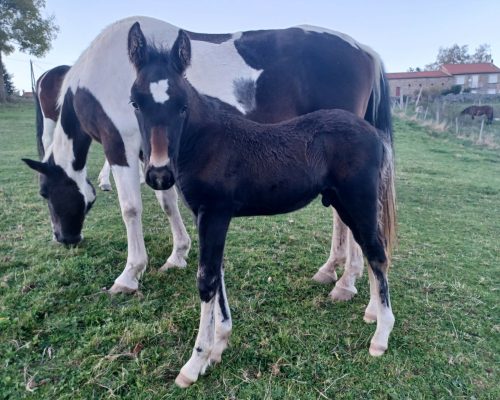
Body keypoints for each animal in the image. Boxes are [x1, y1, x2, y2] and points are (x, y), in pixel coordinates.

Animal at [23, 16, 392, 296]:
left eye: (44, 192)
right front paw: (177, 255)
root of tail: (365, 51)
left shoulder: (120, 147)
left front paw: (130, 274)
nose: (64, 238)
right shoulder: (154, 157)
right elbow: (166, 201)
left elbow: (131, 209)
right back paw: (331, 270)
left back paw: (346, 281)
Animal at [129, 25, 398, 388]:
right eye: (136, 102)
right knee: (369, 250)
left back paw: (381, 337)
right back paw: (370, 311)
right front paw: (218, 347)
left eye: (182, 105)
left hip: (360, 199)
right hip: (346, 204)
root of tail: (372, 134)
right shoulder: (206, 217)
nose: (158, 174)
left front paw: (194, 363)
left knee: (377, 253)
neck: (207, 141)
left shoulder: (215, 213)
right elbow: (218, 274)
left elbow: (207, 280)